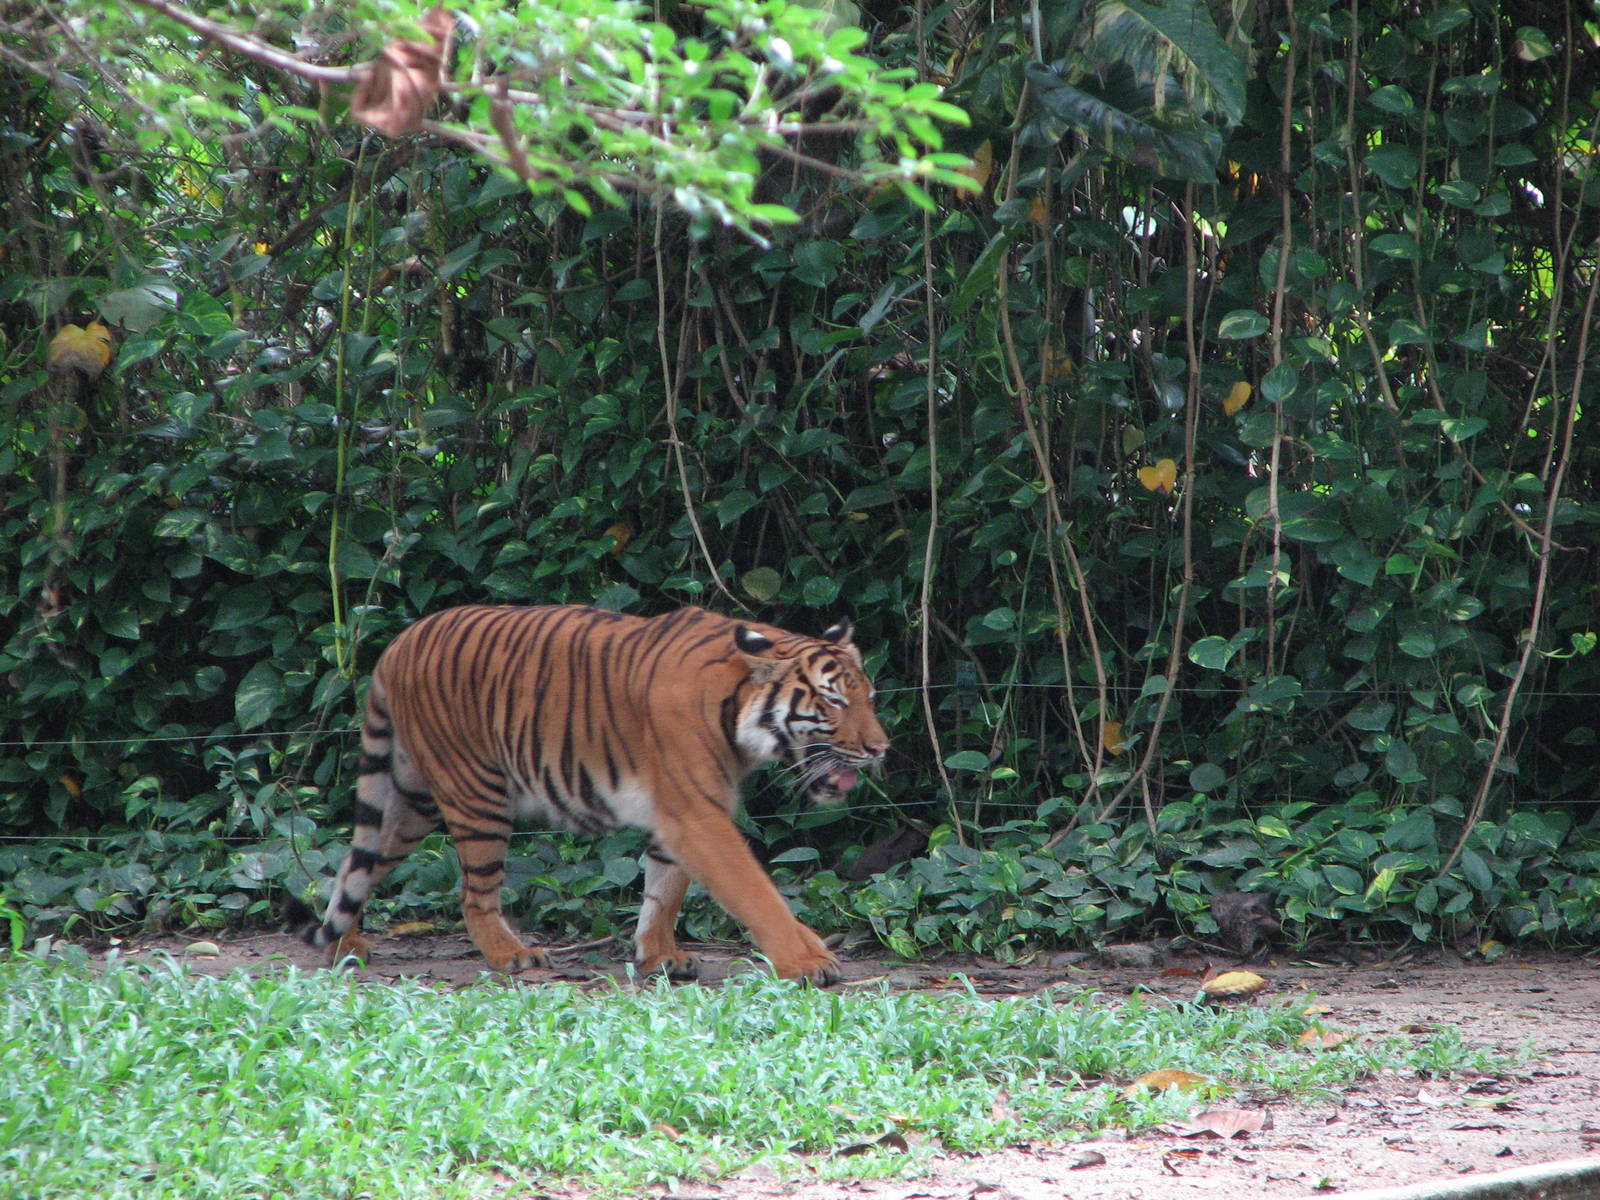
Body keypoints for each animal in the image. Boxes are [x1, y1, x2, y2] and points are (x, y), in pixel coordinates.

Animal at [284, 603, 888, 984]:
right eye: (833, 701)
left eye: (870, 697)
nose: (881, 748)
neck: (740, 711)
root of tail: (399, 643)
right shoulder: (696, 814)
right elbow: (755, 892)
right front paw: (806, 960)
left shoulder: (678, 817)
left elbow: (664, 891)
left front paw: (659, 957)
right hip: (475, 792)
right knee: (472, 892)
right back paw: (512, 955)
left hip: (415, 799)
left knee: (359, 863)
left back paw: (344, 946)